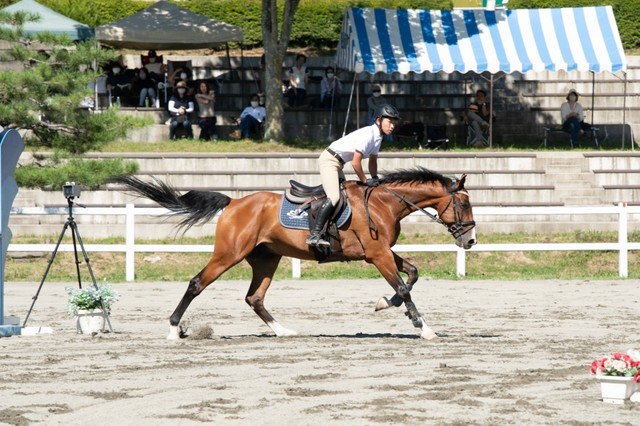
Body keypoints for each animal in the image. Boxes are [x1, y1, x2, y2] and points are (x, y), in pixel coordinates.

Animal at [114, 167, 476, 340]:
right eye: (463, 203)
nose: (471, 241)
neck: (383, 203)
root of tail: (234, 202)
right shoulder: (378, 254)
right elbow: (404, 285)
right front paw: (422, 327)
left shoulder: (381, 252)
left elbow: (412, 274)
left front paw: (385, 303)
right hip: (229, 254)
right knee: (196, 284)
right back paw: (174, 329)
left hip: (266, 258)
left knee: (254, 297)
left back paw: (282, 331)